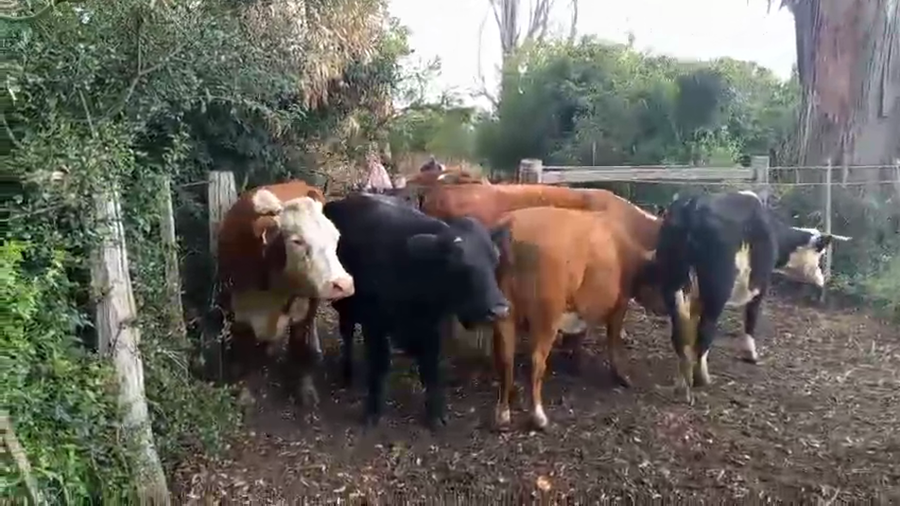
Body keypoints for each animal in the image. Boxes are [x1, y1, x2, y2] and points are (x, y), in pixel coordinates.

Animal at [216, 181, 355, 406]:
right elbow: (246, 353)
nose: (343, 284)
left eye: (335, 237)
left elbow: (299, 346)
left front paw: (305, 390)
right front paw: (246, 393)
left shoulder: (303, 309)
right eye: (297, 241)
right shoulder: (238, 313)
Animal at [324, 192, 511, 429]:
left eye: (495, 260)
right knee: (347, 334)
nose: (499, 309)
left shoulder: (432, 327)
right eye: (459, 264)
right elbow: (379, 364)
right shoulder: (374, 324)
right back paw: (347, 373)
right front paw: (373, 411)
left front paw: (435, 414)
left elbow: (430, 368)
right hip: (345, 305)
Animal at [491, 206, 666, 431]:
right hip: (547, 313)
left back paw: (503, 416)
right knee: (537, 360)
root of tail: (512, 229)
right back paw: (539, 417)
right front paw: (623, 377)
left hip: (504, 310)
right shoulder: (620, 303)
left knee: (506, 358)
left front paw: (576, 363)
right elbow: (613, 340)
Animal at [651, 190, 851, 404]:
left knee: (680, 331)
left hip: (673, 282)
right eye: (820, 254)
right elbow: (751, 318)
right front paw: (751, 354)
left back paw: (682, 385)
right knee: (705, 330)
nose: (823, 279)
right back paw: (701, 379)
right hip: (716, 289)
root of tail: (692, 206)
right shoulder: (760, 285)